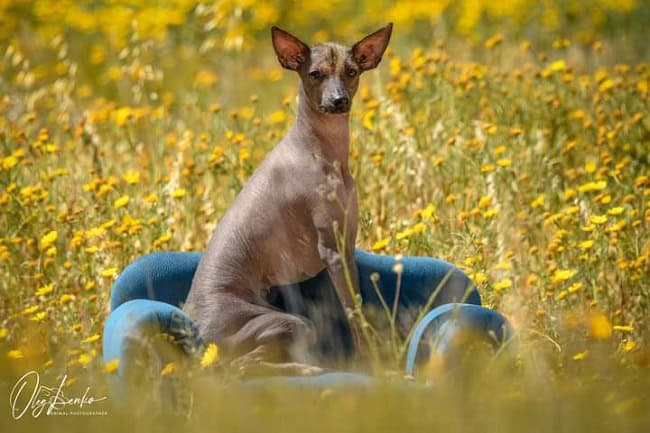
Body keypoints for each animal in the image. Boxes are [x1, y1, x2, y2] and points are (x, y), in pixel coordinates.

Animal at [185, 23, 392, 374]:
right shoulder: (332, 251)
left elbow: (358, 303)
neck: (318, 149)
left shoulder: (346, 247)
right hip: (287, 324)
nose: (339, 100)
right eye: (315, 74)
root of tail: (194, 327)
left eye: (351, 71)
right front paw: (374, 361)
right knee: (240, 369)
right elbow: (354, 311)